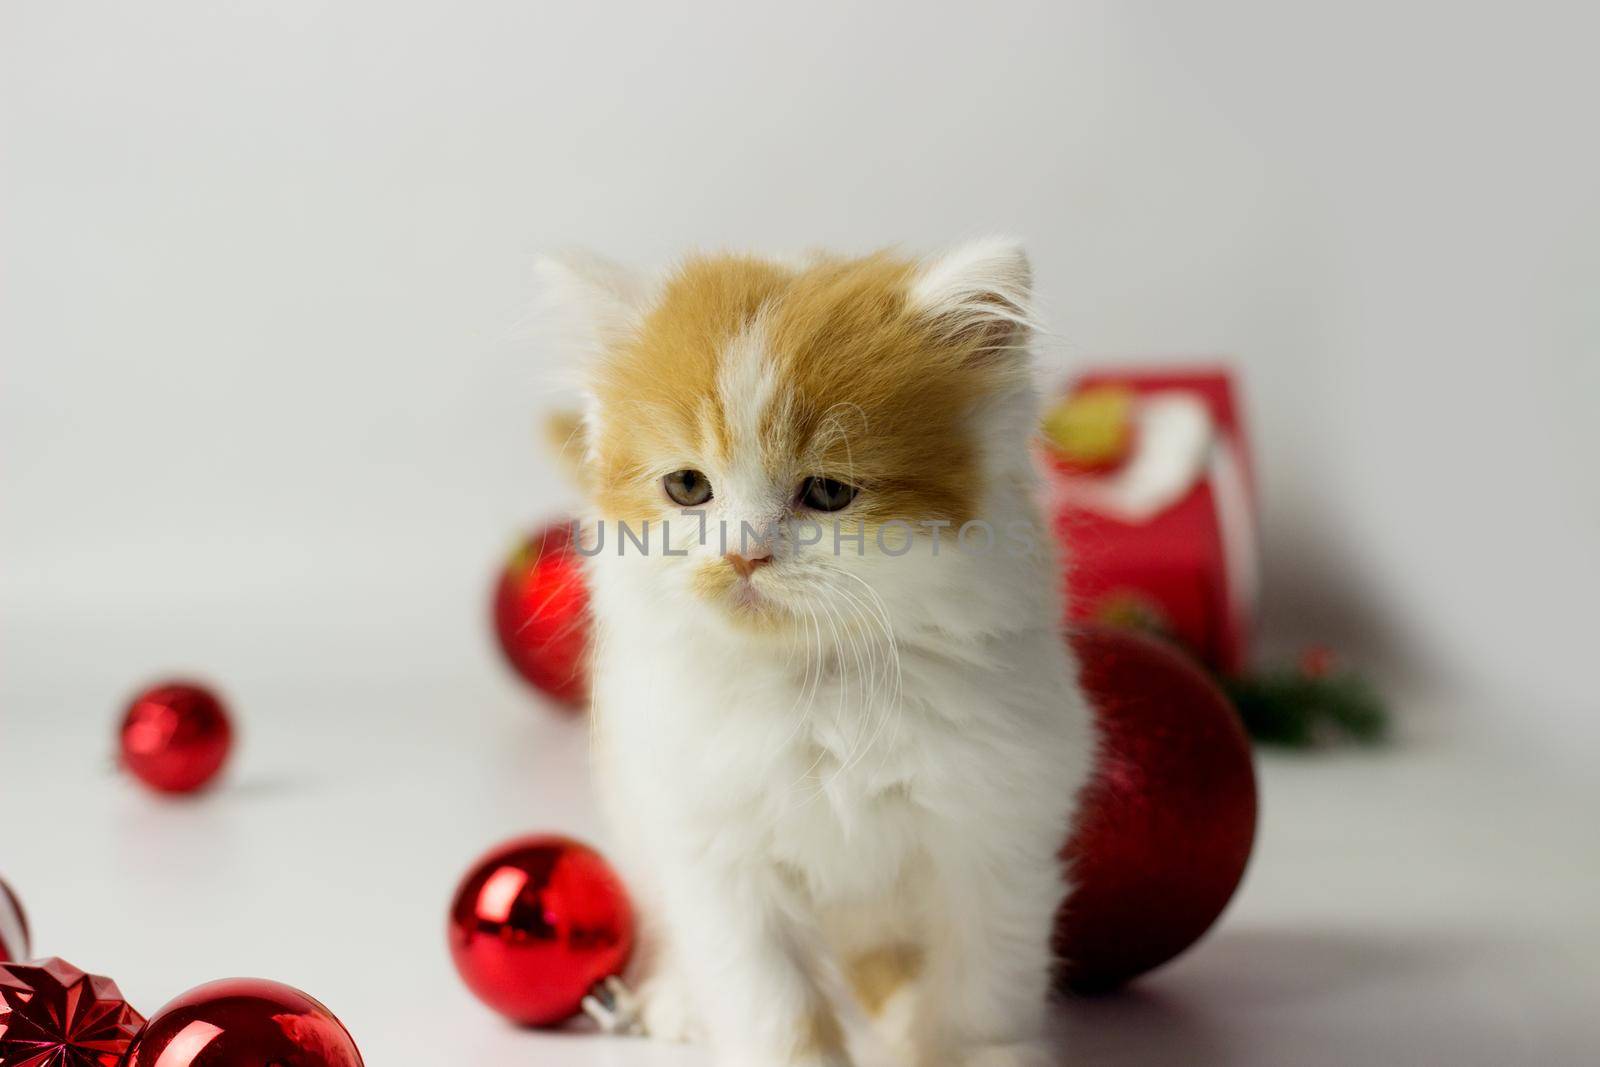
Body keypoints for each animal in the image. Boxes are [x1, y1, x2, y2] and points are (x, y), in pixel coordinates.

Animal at [544, 241, 1094, 1067]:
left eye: (829, 492)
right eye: (688, 486)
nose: (742, 554)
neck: (819, 684)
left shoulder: (993, 829)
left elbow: (980, 984)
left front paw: (975, 1053)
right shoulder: (714, 849)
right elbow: (770, 999)